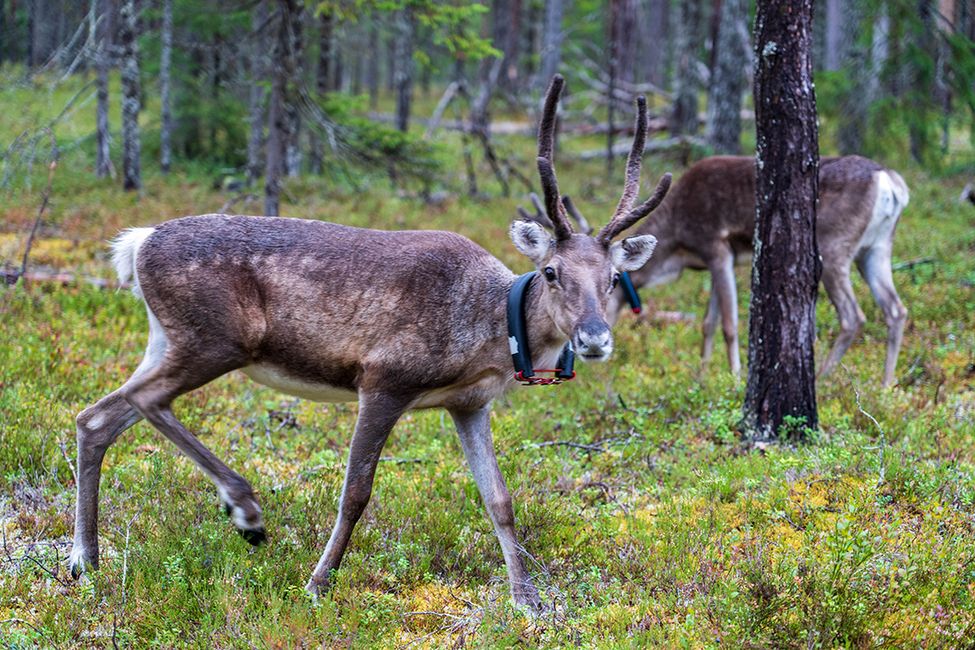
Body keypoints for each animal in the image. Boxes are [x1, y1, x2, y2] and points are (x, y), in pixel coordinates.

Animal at [68, 75, 671, 611]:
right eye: (550, 271)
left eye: (614, 277)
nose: (595, 339)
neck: (490, 332)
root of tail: (136, 244)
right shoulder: (384, 380)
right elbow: (356, 492)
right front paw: (317, 584)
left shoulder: (468, 403)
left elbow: (499, 498)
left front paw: (528, 600)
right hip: (212, 341)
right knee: (144, 400)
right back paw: (245, 511)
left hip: (166, 340)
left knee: (96, 417)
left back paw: (86, 561)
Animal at [529, 155, 909, 387]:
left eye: (612, 281)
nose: (594, 341)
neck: (677, 246)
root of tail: (890, 182)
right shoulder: (713, 261)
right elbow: (708, 322)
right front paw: (702, 373)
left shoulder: (717, 247)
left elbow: (729, 323)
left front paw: (735, 376)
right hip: (876, 249)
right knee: (896, 309)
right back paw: (886, 385)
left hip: (833, 251)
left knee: (854, 316)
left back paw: (824, 378)